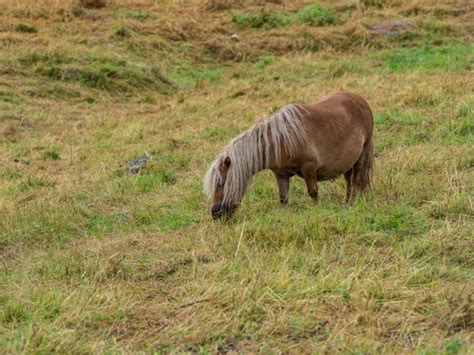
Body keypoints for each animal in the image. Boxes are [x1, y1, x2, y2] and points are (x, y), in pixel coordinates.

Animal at [204, 92, 374, 220]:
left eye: (221, 183)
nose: (215, 214)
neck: (281, 140)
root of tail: (361, 101)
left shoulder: (309, 168)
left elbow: (313, 192)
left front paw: (317, 210)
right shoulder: (281, 175)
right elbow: (283, 198)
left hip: (361, 156)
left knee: (356, 182)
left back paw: (351, 205)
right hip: (348, 162)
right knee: (349, 183)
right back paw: (345, 204)